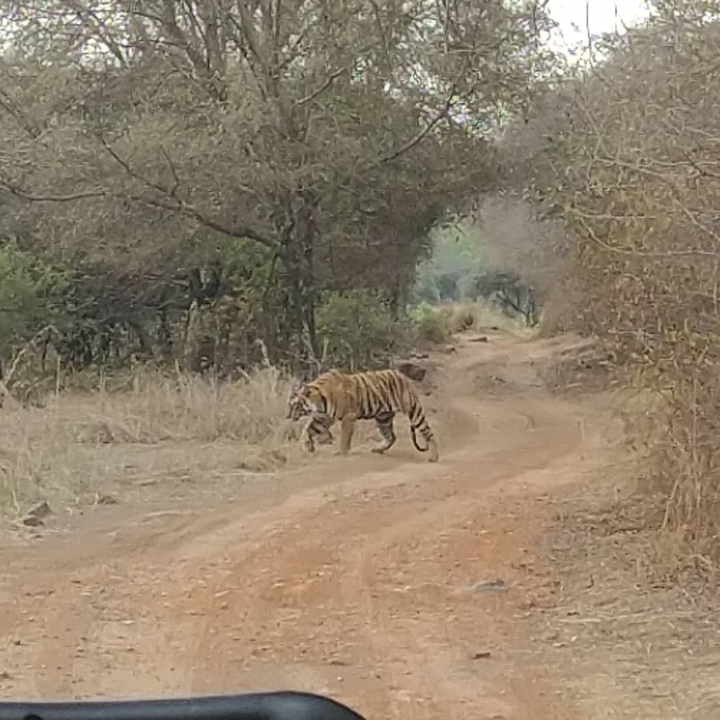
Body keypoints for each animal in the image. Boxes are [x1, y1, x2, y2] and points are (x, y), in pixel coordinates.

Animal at [287, 367, 439, 462]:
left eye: (294, 405)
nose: (287, 416)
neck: (318, 402)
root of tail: (403, 376)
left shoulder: (348, 416)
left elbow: (344, 438)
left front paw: (341, 453)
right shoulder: (323, 418)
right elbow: (307, 429)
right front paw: (309, 446)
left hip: (413, 410)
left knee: (428, 432)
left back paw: (434, 457)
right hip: (383, 417)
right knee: (391, 436)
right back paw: (377, 449)